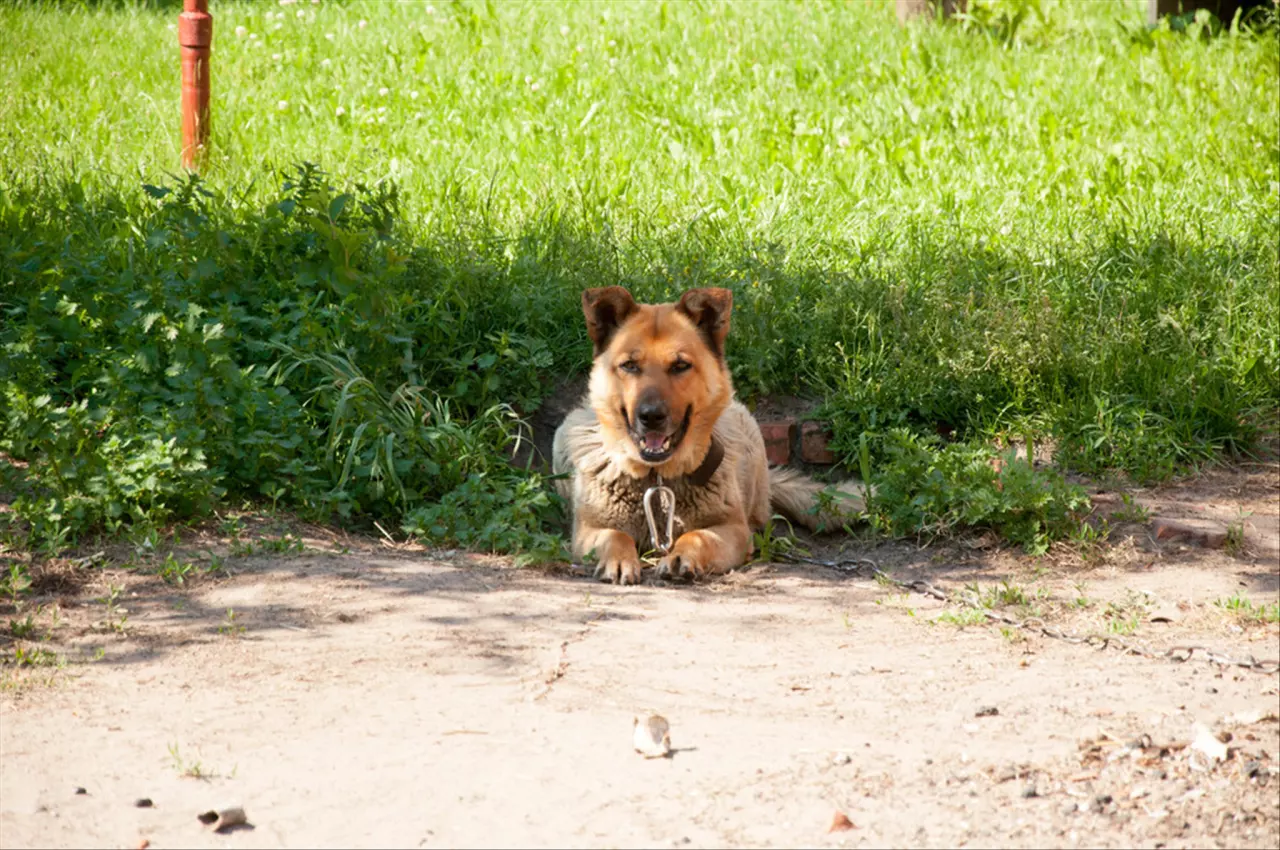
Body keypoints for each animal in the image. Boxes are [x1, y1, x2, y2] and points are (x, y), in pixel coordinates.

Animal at [555, 285, 865, 583]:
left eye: (680, 365)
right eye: (629, 365)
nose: (651, 416)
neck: (658, 479)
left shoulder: (733, 530)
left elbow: (698, 536)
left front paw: (681, 556)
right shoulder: (588, 531)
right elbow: (615, 535)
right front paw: (619, 561)